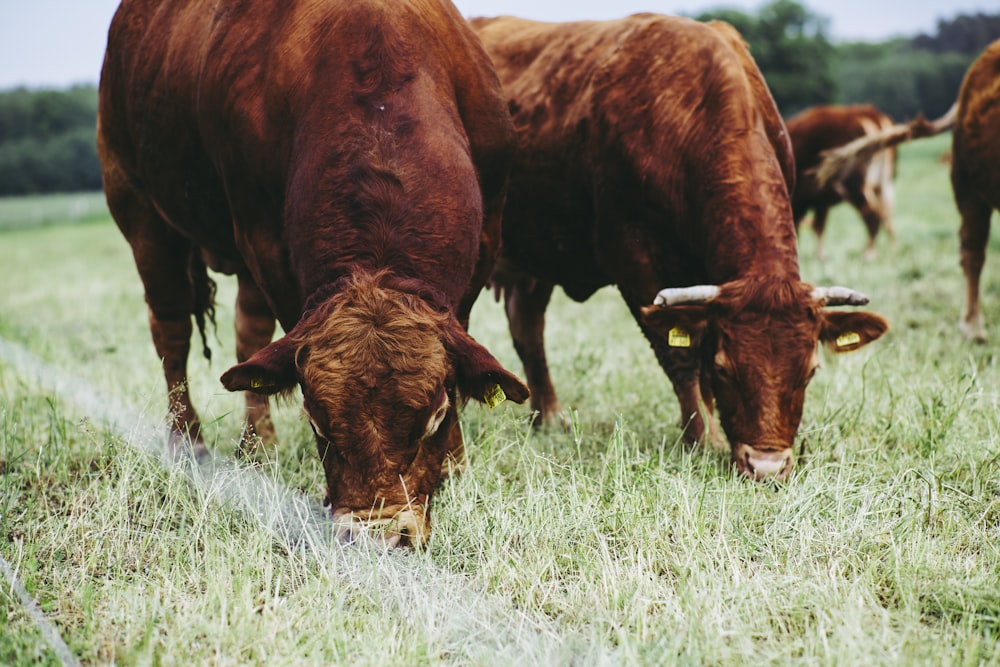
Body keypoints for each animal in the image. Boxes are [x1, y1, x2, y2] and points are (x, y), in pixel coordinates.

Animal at [96, 0, 528, 548]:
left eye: (433, 417)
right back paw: (189, 442)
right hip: (139, 208)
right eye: (317, 420)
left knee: (246, 332)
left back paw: (256, 448)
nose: (376, 536)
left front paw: (453, 462)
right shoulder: (264, 242)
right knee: (172, 330)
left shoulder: (488, 235)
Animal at [472, 15, 888, 482]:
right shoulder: (634, 259)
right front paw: (703, 437)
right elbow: (681, 356)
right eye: (727, 368)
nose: (766, 466)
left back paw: (550, 416)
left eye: (811, 370)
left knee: (528, 327)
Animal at [788, 104, 900, 260]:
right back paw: (893, 250)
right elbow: (819, 226)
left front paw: (820, 255)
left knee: (872, 216)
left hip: (855, 187)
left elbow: (818, 226)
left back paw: (869, 254)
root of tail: (871, 113)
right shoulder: (821, 201)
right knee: (887, 217)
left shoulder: (819, 199)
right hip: (884, 184)